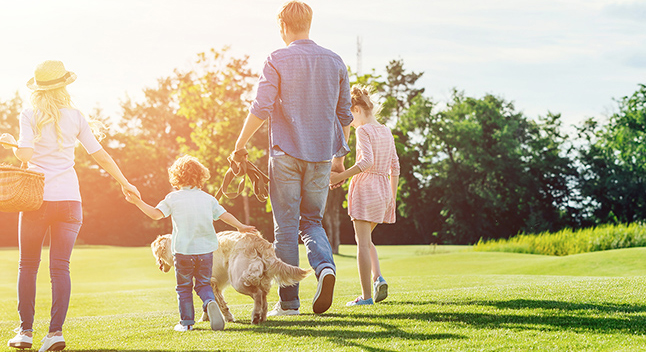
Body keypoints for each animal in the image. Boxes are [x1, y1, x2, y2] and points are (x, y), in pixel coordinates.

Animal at [152, 231, 314, 324]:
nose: (158, 266)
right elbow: (209, 302)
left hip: (239, 280)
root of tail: (258, 241)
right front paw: (205, 317)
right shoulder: (213, 284)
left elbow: (219, 303)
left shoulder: (210, 282)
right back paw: (262, 317)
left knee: (258, 294)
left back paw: (255, 316)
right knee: (264, 299)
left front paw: (227, 317)